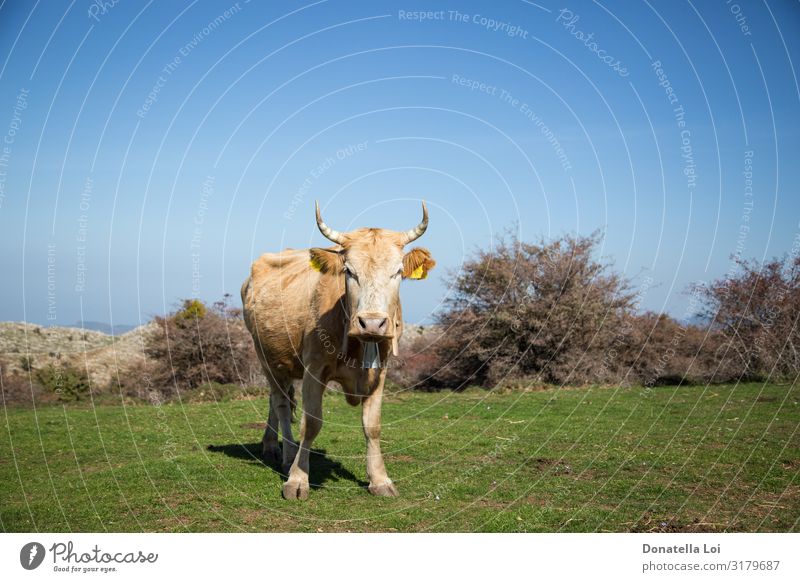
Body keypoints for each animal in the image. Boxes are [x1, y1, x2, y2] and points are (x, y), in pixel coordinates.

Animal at [241, 203, 434, 500]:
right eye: (349, 271)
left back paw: (271, 446)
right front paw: (297, 480)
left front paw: (379, 479)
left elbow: (373, 426)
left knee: (277, 399)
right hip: (264, 355)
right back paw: (287, 455)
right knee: (281, 403)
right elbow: (311, 423)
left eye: (398, 271)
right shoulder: (314, 369)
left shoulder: (381, 370)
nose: (372, 323)